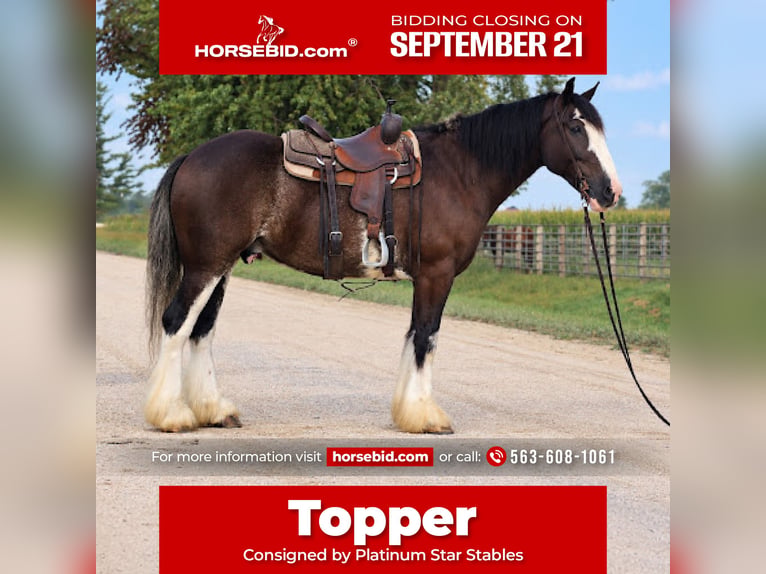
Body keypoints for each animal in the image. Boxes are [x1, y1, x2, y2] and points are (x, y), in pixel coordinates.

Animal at [144, 78, 622, 433]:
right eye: (575, 128)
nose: (610, 191)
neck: (459, 172)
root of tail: (193, 156)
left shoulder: (426, 278)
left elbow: (414, 336)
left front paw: (410, 411)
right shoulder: (436, 275)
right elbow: (426, 337)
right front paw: (426, 416)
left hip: (222, 267)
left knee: (201, 331)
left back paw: (214, 410)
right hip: (206, 267)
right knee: (176, 322)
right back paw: (172, 415)